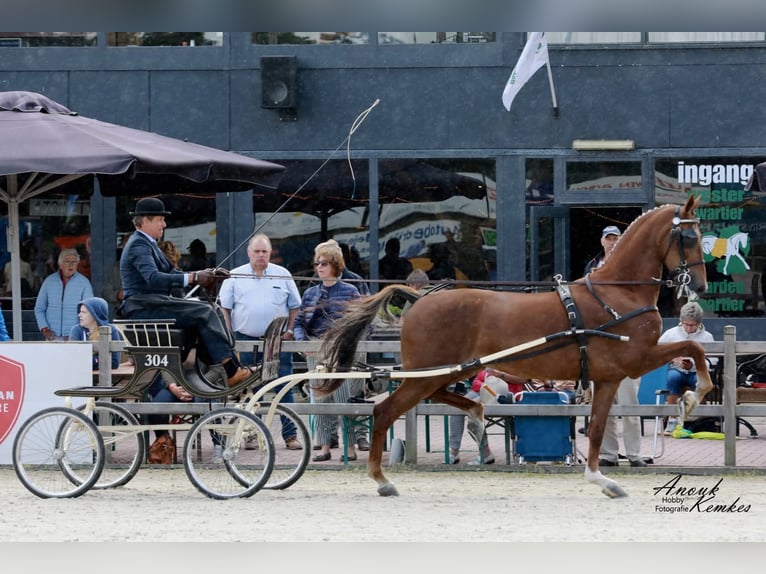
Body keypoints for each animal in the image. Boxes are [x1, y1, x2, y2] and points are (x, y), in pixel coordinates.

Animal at [317, 194, 709, 498]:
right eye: (689, 236)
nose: (701, 286)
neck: (617, 294)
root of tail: (419, 298)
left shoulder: (609, 377)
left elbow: (597, 427)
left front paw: (602, 479)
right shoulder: (636, 359)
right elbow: (694, 349)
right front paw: (693, 397)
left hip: (452, 369)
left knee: (443, 396)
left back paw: (475, 412)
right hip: (428, 373)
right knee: (385, 411)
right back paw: (382, 480)